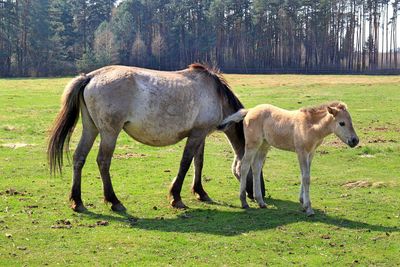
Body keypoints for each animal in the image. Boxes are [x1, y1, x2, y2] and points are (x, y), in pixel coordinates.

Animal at [47, 63, 266, 213]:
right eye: (255, 167)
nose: (261, 193)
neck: (216, 95)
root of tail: (91, 76)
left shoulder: (200, 134)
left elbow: (198, 163)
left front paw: (200, 192)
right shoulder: (196, 135)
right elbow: (185, 163)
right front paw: (176, 198)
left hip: (91, 129)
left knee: (79, 158)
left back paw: (77, 201)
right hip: (110, 132)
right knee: (103, 161)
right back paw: (114, 201)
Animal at [219, 101, 360, 217]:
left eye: (351, 121)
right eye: (342, 123)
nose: (355, 141)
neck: (309, 126)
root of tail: (250, 110)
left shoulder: (311, 153)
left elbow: (305, 175)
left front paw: (302, 202)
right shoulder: (302, 152)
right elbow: (306, 178)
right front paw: (308, 208)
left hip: (264, 145)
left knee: (256, 167)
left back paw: (260, 201)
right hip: (252, 144)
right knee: (244, 167)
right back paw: (244, 201)